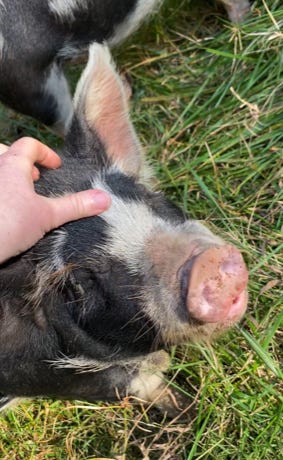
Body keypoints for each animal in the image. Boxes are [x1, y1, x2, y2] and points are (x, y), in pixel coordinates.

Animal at [0, 45, 248, 416]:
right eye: (79, 282)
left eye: (146, 197)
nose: (207, 266)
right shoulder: (65, 379)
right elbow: (148, 385)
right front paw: (189, 411)